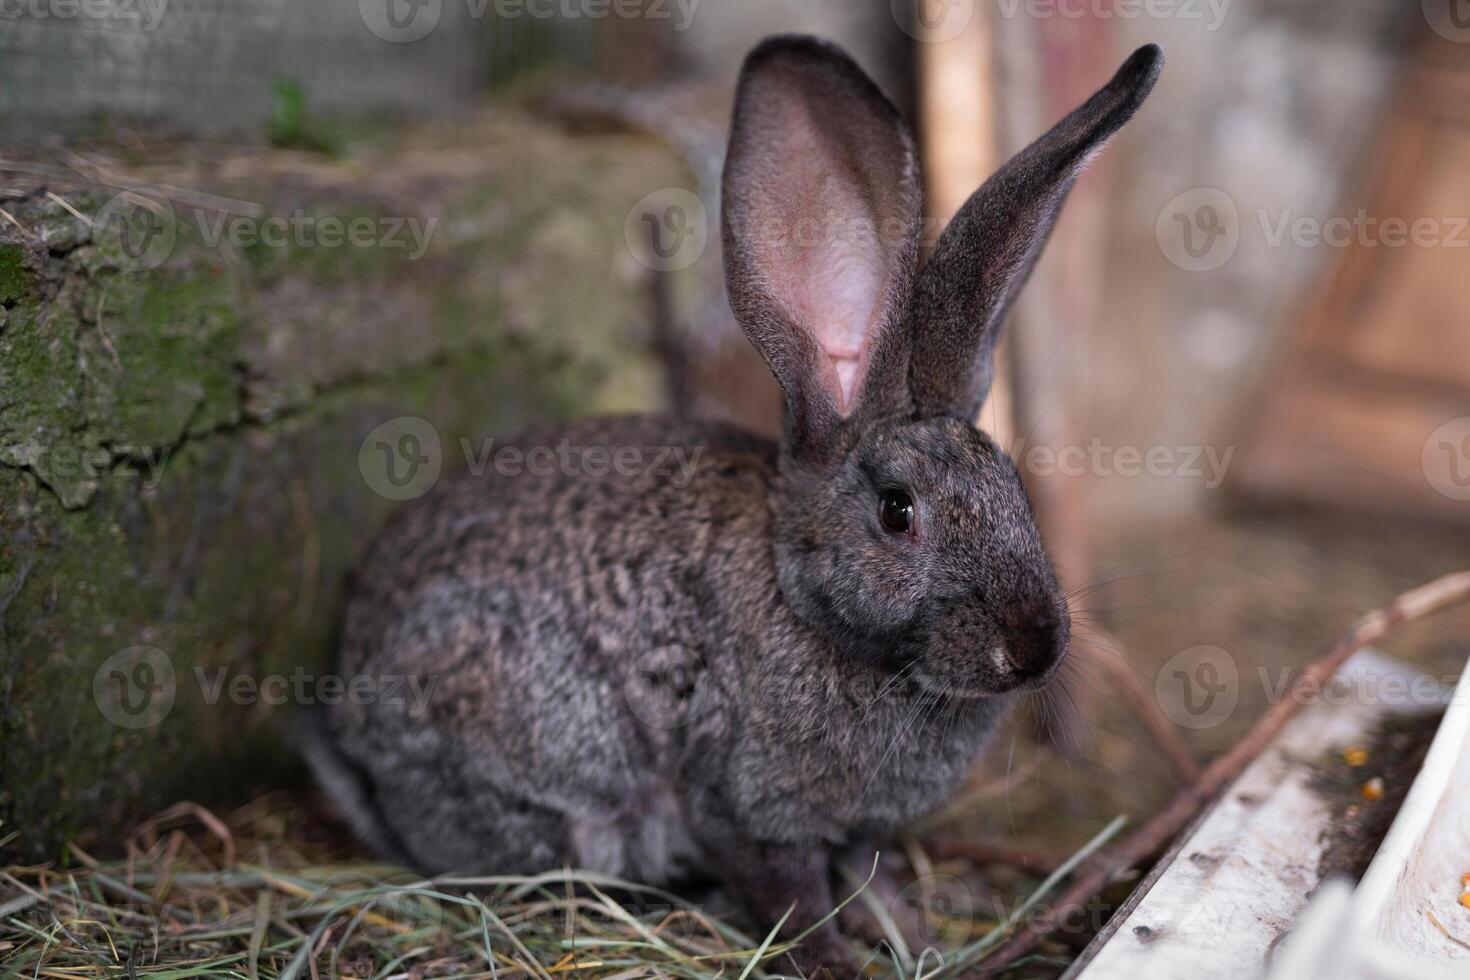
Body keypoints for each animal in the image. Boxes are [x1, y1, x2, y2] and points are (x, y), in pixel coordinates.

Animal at [304, 34, 1164, 975]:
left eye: (1015, 489)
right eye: (897, 512)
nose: (1036, 646)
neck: (810, 607)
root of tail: (357, 735)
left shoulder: (856, 828)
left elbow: (868, 877)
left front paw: (916, 936)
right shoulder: (746, 808)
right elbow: (792, 897)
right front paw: (835, 963)